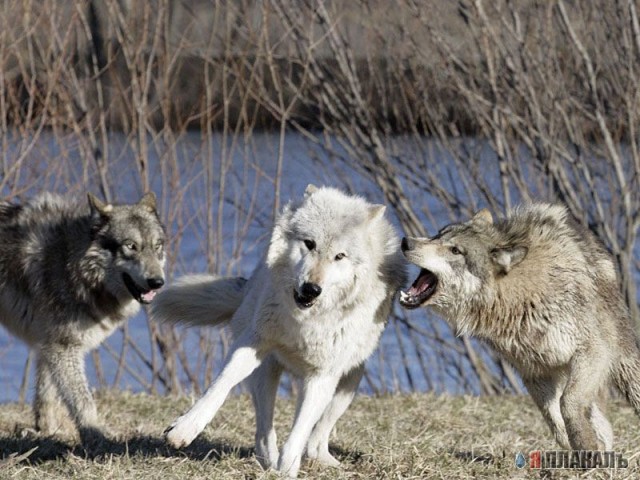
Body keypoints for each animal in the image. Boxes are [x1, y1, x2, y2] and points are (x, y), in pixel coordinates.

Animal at [0, 190, 168, 442]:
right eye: (131, 246)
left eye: (157, 246)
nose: (157, 282)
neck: (71, 262)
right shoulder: (63, 347)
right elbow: (84, 402)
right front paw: (95, 436)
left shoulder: (50, 345)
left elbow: (46, 395)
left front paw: (47, 432)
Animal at [152, 186, 408, 478]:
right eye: (309, 244)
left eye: (340, 256)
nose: (311, 289)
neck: (305, 321)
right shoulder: (253, 342)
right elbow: (220, 385)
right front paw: (184, 429)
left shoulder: (323, 376)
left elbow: (300, 431)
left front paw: (287, 469)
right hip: (266, 372)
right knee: (264, 431)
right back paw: (269, 462)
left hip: (349, 381)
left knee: (316, 436)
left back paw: (321, 461)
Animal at [400, 204, 640, 452]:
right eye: (438, 234)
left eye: (455, 250)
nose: (406, 241)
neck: (521, 298)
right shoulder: (534, 373)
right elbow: (556, 424)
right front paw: (580, 449)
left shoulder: (593, 351)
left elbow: (568, 402)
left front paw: (585, 445)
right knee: (603, 424)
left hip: (622, 366)